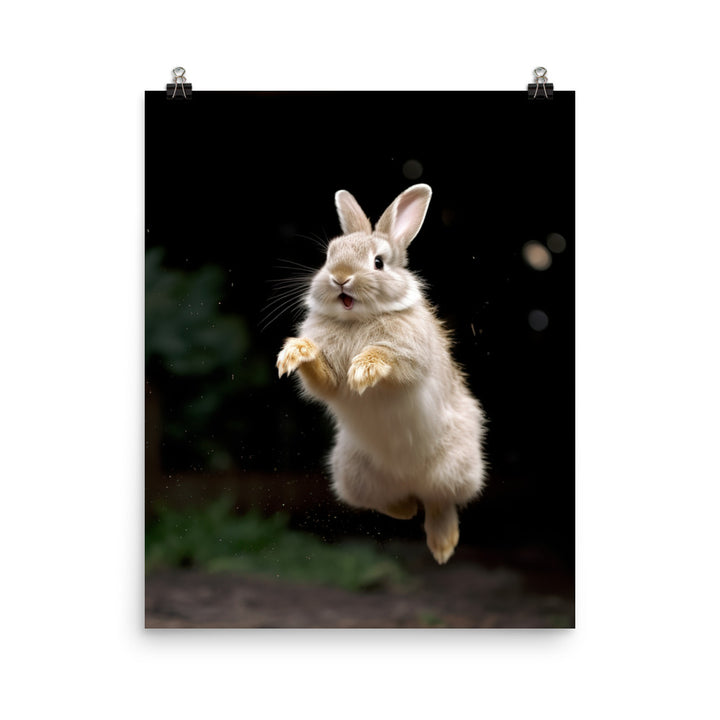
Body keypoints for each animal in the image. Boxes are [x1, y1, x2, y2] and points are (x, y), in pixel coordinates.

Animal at [276, 184, 486, 564]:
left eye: (378, 262)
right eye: (329, 256)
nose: (340, 277)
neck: (357, 320)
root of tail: (408, 479)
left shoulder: (411, 357)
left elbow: (392, 359)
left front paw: (365, 368)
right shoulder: (328, 382)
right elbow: (324, 380)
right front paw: (296, 352)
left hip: (456, 467)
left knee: (440, 502)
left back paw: (443, 545)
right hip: (350, 473)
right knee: (392, 504)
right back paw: (407, 509)